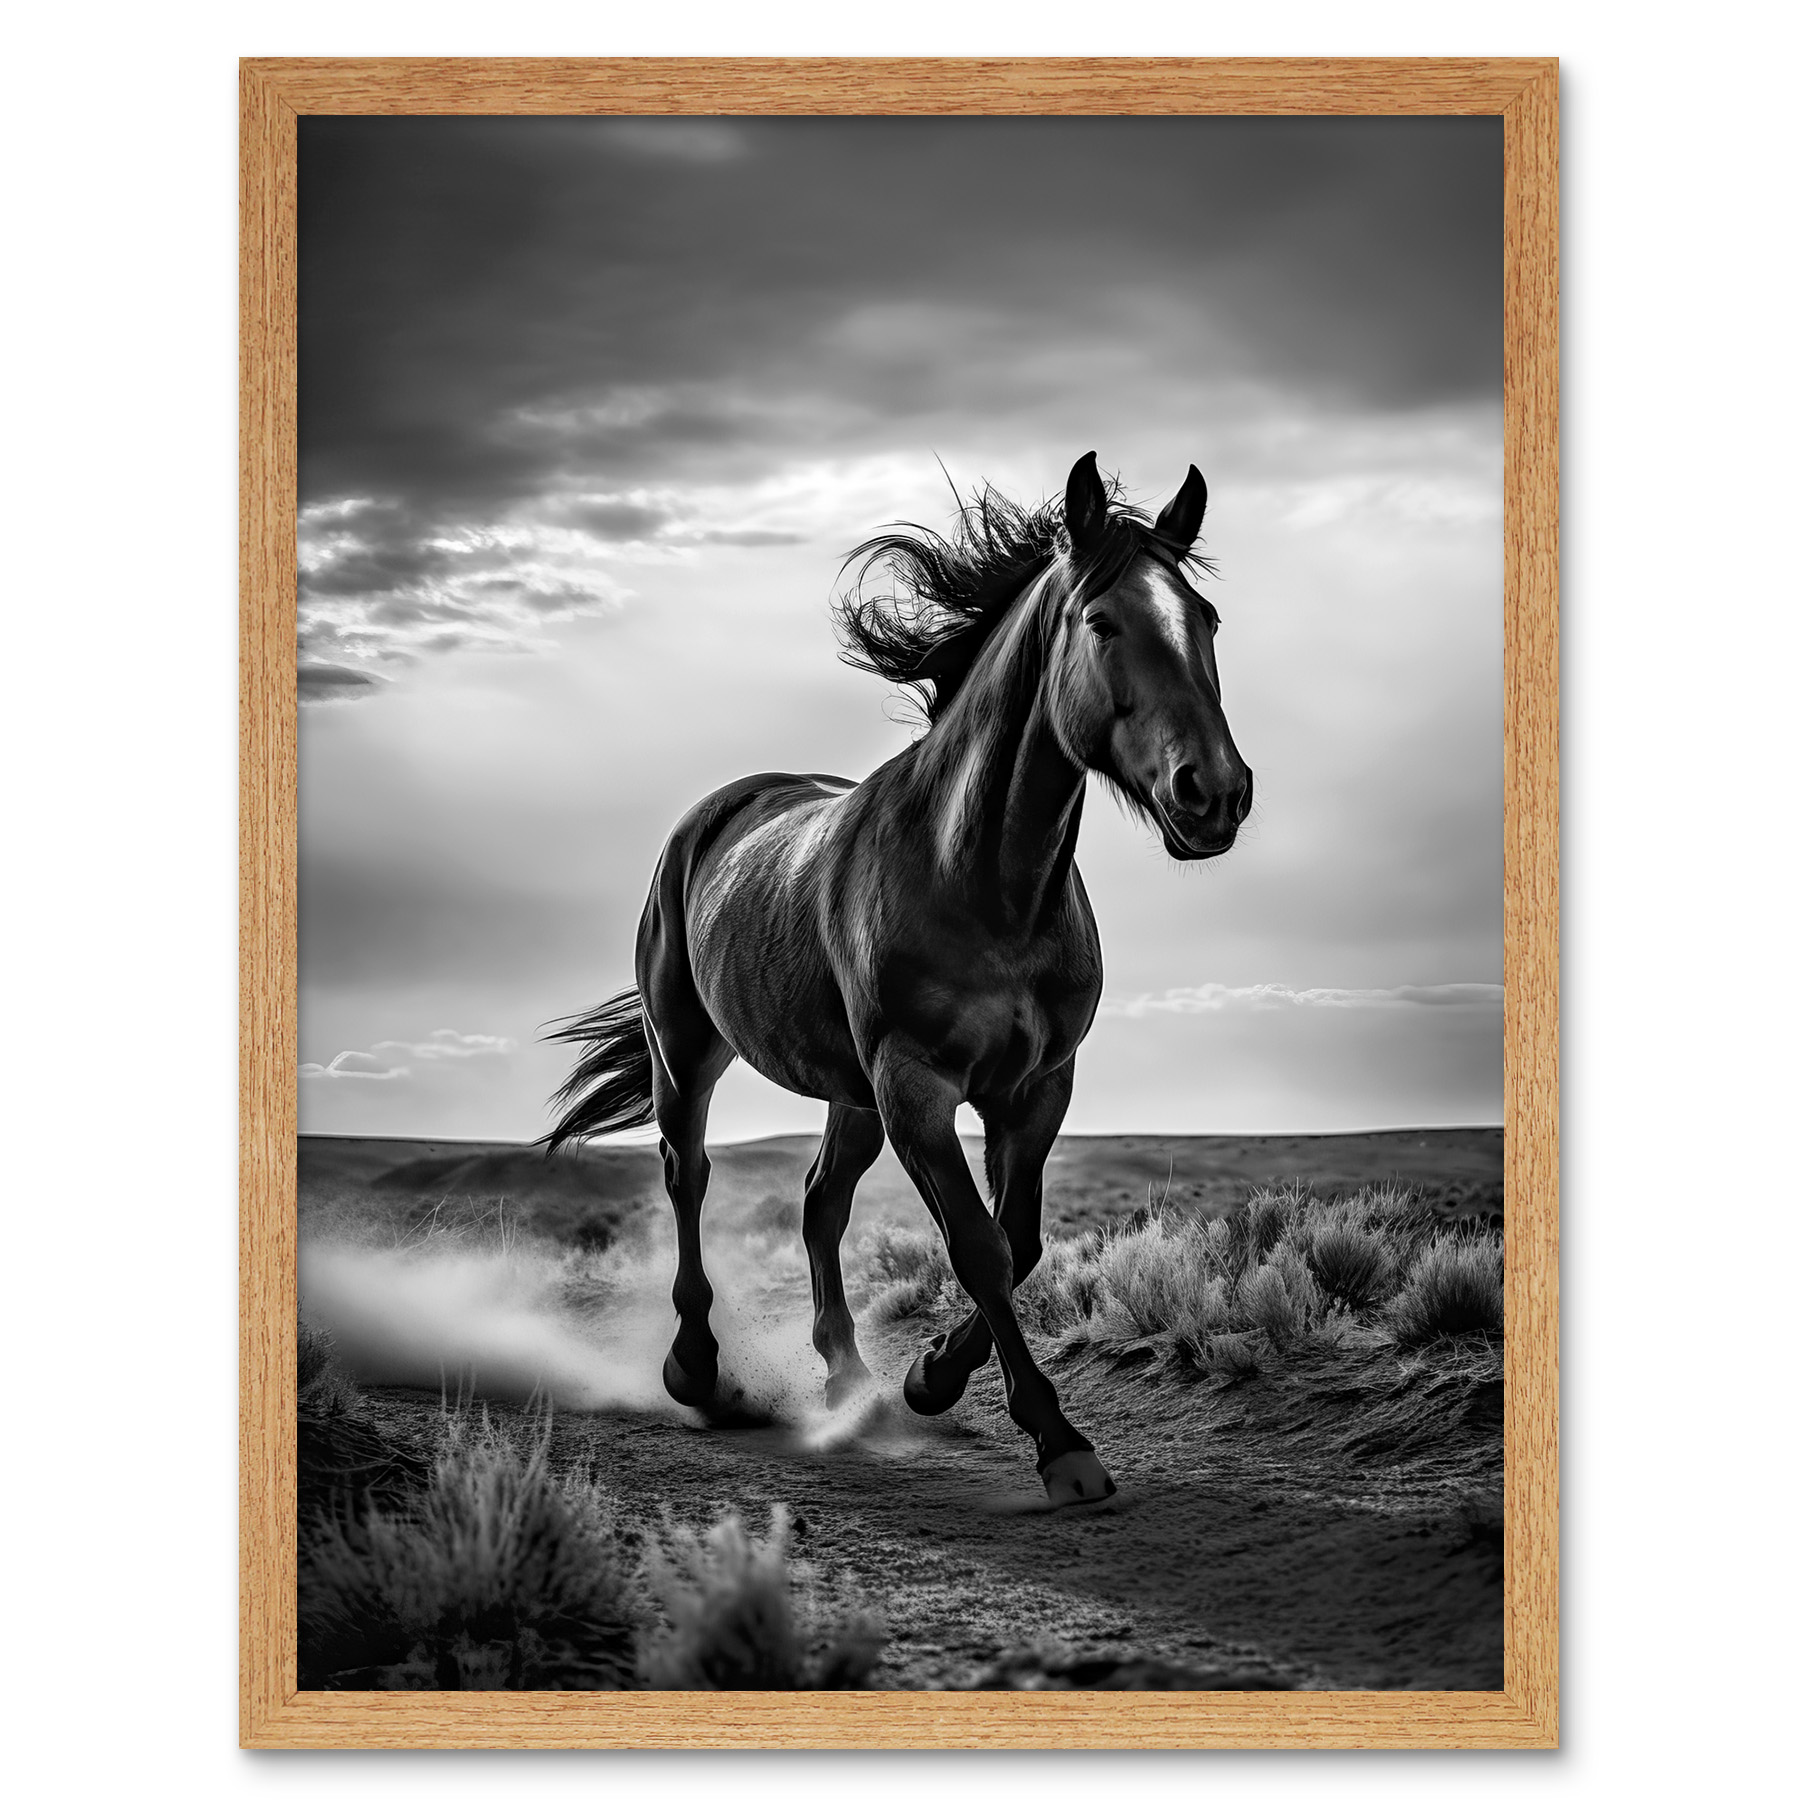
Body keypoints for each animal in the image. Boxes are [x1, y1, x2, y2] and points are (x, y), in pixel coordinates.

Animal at [545, 452, 1252, 1506]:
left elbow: (1020, 1241)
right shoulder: (916, 1086)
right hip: (692, 1055)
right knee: (688, 1175)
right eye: (1103, 622)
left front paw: (930, 1377)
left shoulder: (1035, 1088)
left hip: (849, 1094)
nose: (1215, 794)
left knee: (818, 1203)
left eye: (1204, 619)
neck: (983, 880)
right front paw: (1057, 1441)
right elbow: (979, 1246)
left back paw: (851, 1381)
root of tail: (713, 815)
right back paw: (698, 1369)